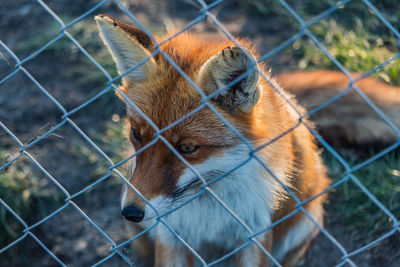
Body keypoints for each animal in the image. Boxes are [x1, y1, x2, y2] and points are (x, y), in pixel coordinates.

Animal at [95, 14, 398, 267]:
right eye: (137, 134)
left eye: (188, 148)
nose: (131, 212)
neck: (210, 206)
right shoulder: (171, 235)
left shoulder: (256, 235)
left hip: (305, 224)